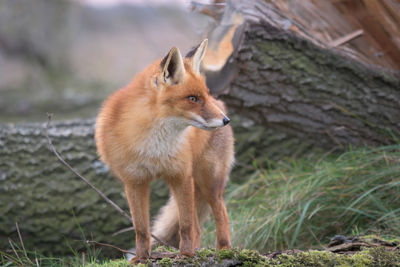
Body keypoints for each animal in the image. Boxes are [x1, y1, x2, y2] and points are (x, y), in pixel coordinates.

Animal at [95, 39, 234, 264]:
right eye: (193, 98)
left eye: (205, 94)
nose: (225, 120)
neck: (153, 147)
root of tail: (221, 103)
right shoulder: (134, 182)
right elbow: (141, 229)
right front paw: (141, 258)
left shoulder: (181, 175)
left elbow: (185, 226)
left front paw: (185, 255)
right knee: (198, 228)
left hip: (208, 182)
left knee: (220, 214)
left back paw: (224, 250)